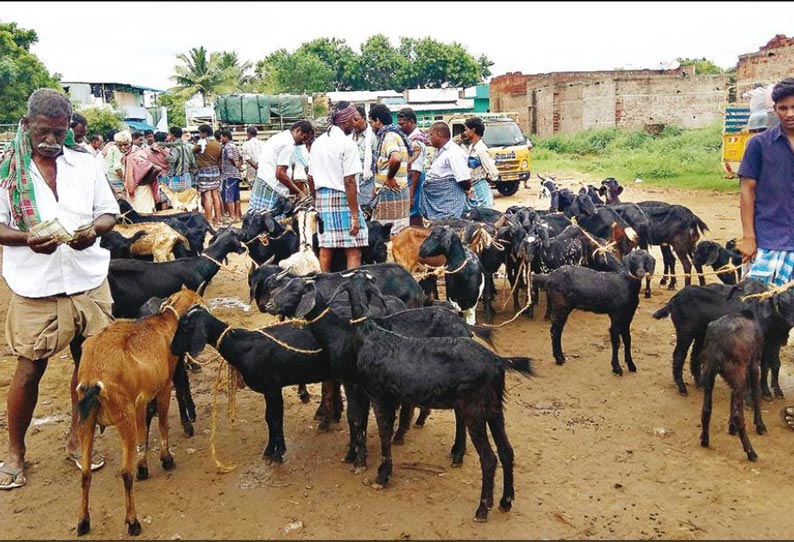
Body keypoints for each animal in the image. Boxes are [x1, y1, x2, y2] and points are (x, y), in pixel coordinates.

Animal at [75, 288, 204, 536]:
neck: (165, 322)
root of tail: (94, 376)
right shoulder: (163, 388)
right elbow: (162, 423)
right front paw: (166, 459)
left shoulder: (140, 402)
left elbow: (144, 432)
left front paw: (144, 466)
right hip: (123, 419)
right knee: (126, 473)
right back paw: (133, 522)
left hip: (86, 421)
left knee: (85, 473)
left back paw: (83, 522)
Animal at [338, 274, 532, 524]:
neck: (370, 334)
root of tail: (498, 362)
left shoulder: (379, 395)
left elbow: (382, 433)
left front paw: (381, 475)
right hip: (494, 408)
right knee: (507, 451)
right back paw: (505, 501)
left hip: (474, 409)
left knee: (489, 459)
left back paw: (482, 509)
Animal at [704, 312, 764, 462]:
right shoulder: (754, 363)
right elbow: (756, 393)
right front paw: (760, 425)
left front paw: (731, 427)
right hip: (738, 374)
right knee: (739, 415)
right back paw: (751, 452)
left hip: (710, 374)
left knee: (707, 407)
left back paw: (704, 440)